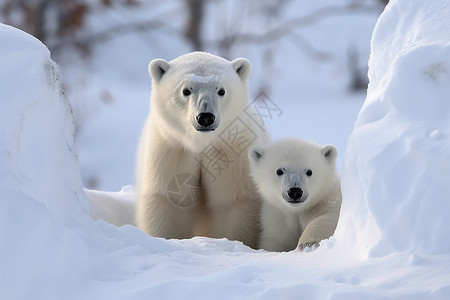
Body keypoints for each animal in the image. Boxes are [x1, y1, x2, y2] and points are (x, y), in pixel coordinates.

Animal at [137, 51, 268, 248]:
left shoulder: (232, 150)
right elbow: (170, 198)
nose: (205, 117)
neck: (200, 143)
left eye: (221, 90)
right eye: (186, 90)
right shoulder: (173, 148)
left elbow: (233, 199)